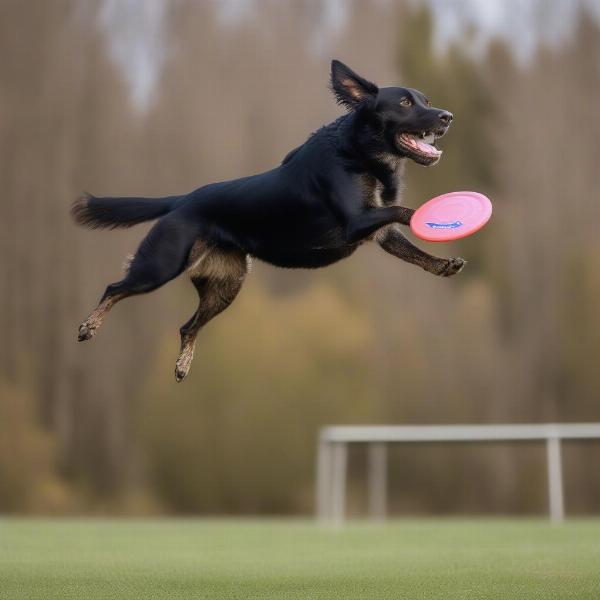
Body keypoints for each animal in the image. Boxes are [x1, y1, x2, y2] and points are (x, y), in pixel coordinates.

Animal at [72, 59, 462, 380]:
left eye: (426, 100)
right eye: (405, 103)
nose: (447, 116)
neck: (360, 152)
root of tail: (181, 202)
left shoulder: (379, 232)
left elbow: (414, 253)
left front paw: (443, 263)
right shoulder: (357, 222)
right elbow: (403, 211)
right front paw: (434, 217)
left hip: (227, 286)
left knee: (187, 327)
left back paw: (182, 365)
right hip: (160, 265)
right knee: (114, 288)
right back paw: (89, 327)